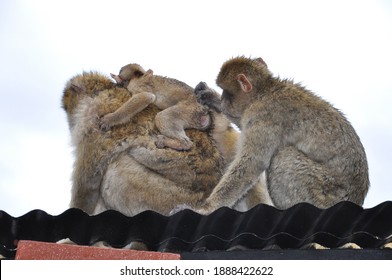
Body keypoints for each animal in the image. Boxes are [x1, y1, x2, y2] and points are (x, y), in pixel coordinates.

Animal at [173, 56, 370, 214]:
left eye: (226, 92)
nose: (223, 99)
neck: (266, 91)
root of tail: (357, 199)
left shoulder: (264, 115)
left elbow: (252, 164)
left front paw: (205, 209)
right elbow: (240, 121)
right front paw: (209, 97)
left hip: (327, 195)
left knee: (283, 156)